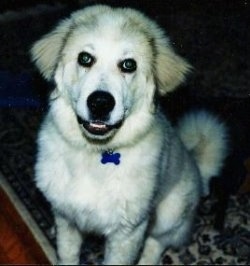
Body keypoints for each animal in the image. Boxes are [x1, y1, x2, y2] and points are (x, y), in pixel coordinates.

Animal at [30, 5, 228, 264]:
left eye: (128, 65)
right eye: (85, 58)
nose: (100, 103)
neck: (95, 153)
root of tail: (198, 170)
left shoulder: (127, 233)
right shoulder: (67, 219)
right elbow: (67, 255)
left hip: (169, 213)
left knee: (157, 243)